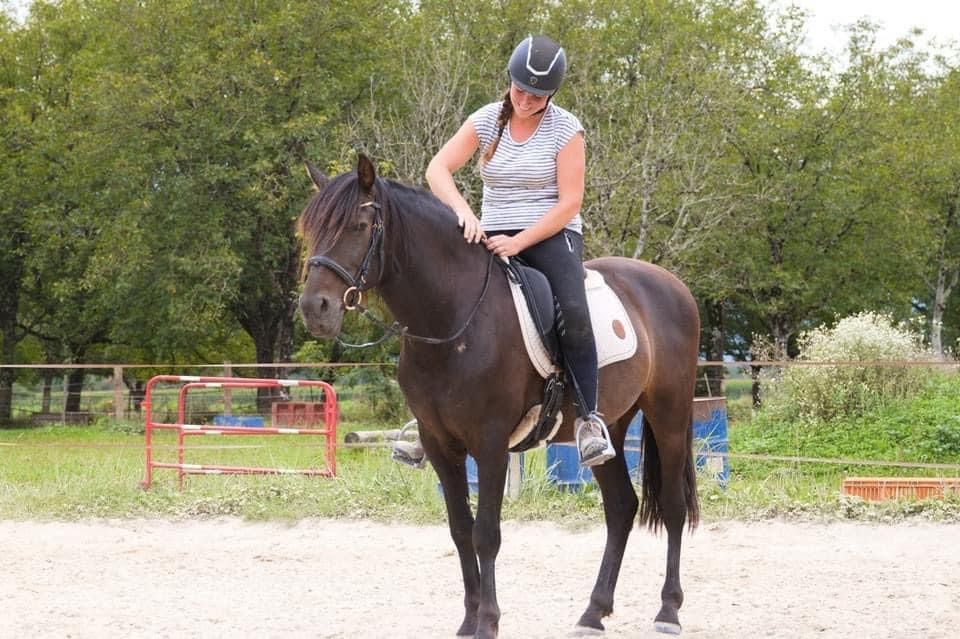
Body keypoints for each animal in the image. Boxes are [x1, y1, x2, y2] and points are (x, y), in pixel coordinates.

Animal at [298, 156, 696, 639]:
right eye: (310, 230)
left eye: (358, 226)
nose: (314, 309)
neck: (454, 320)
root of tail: (670, 284)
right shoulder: (439, 444)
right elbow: (459, 529)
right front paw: (469, 620)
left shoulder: (489, 444)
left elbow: (486, 532)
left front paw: (487, 621)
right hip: (612, 427)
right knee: (621, 507)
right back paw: (592, 613)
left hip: (669, 416)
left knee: (673, 507)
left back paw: (669, 610)